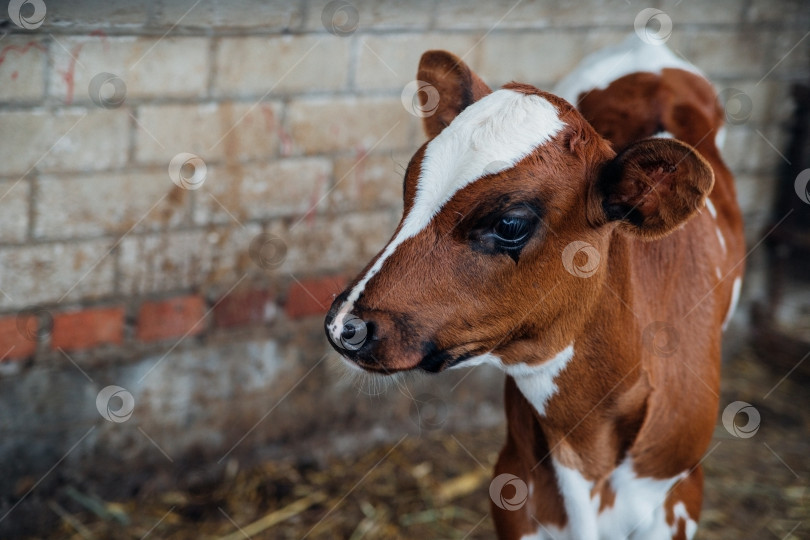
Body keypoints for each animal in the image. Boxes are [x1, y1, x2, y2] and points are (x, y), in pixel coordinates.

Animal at [326, 35, 740, 536]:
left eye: (510, 223)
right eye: (410, 187)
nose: (345, 326)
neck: (586, 445)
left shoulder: (680, 495)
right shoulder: (514, 485)